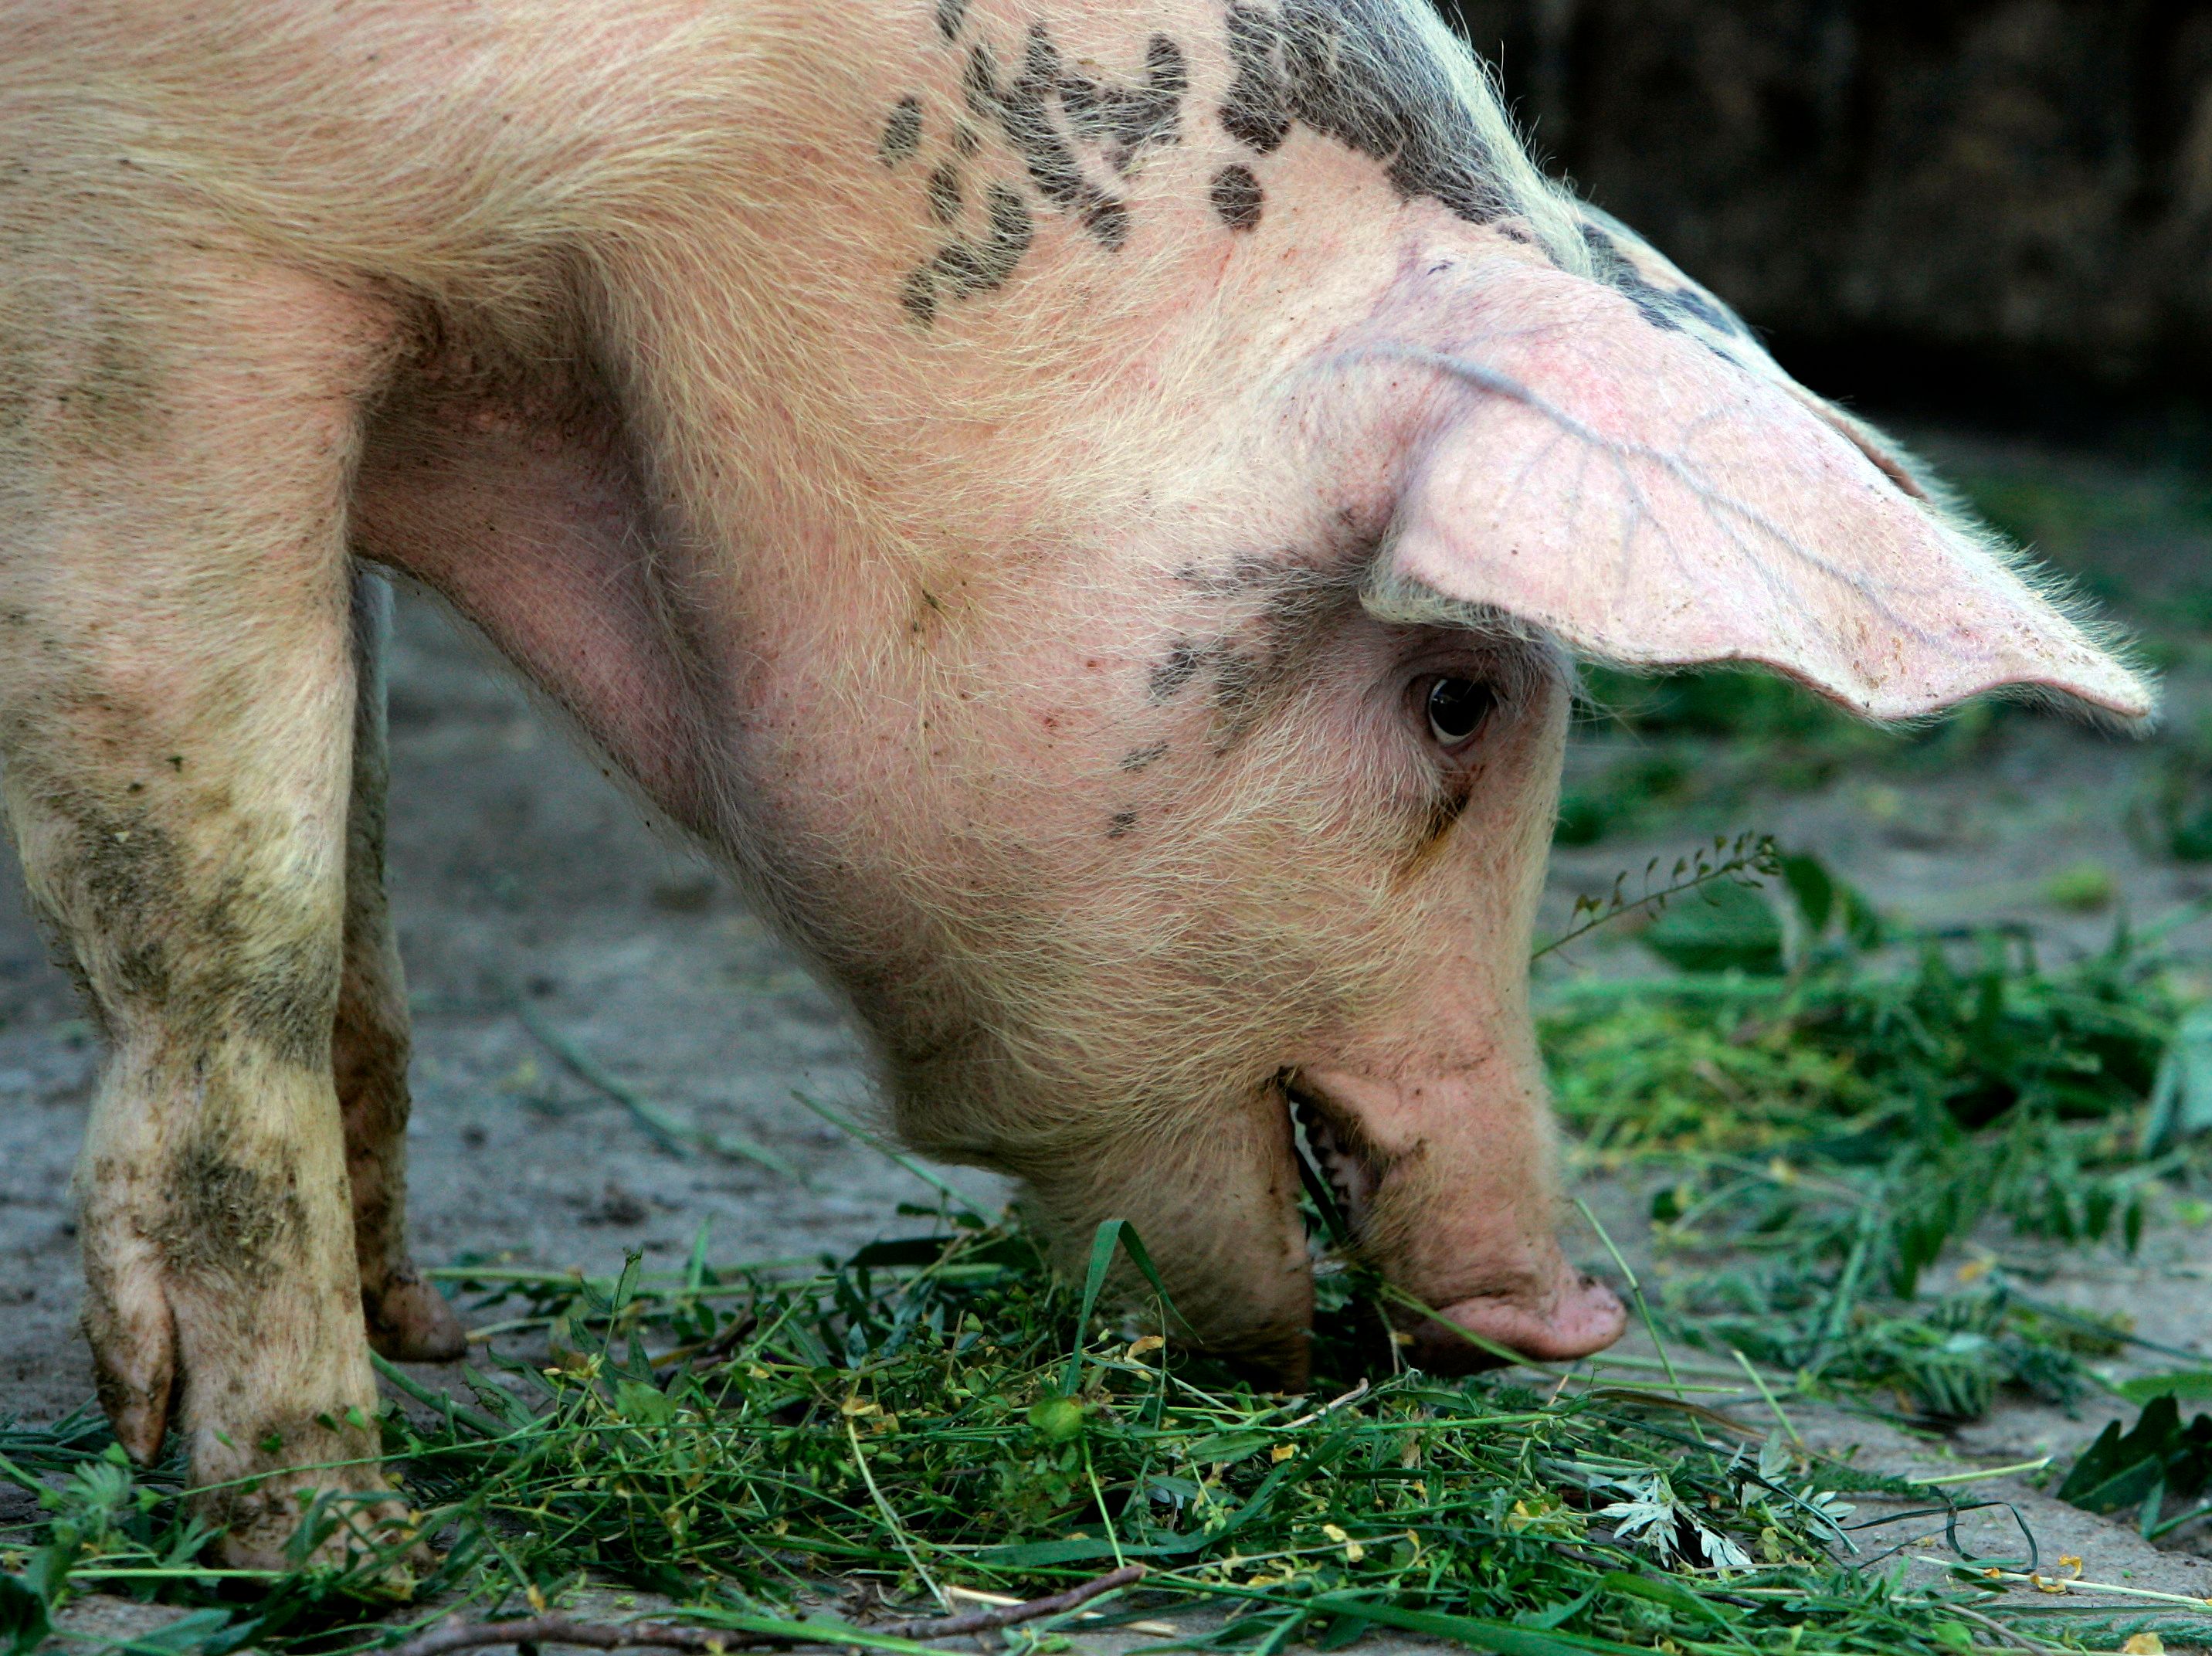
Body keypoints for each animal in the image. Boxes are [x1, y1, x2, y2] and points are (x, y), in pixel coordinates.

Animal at [0, 0, 2151, 1567]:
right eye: (1461, 697)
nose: (1575, 1315)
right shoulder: (157, 271)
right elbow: (239, 876)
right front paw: (333, 1535)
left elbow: (359, 831)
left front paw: (433, 1337)